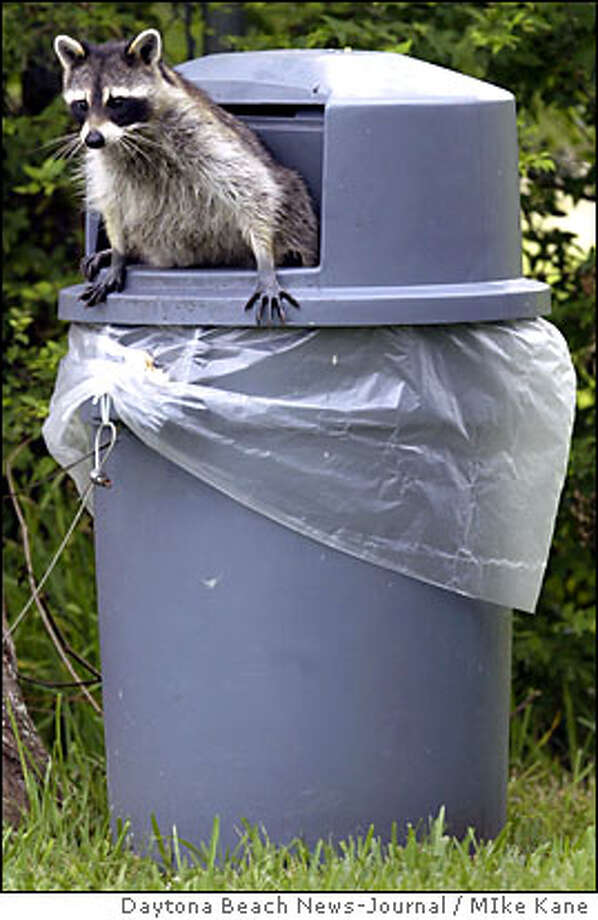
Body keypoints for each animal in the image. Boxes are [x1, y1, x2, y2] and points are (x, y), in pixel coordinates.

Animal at [53, 28, 318, 324]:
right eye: (82, 104)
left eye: (117, 102)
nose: (93, 139)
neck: (132, 134)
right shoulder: (106, 160)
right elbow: (113, 205)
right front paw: (119, 253)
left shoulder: (199, 133)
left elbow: (252, 188)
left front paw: (265, 257)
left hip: (296, 211)